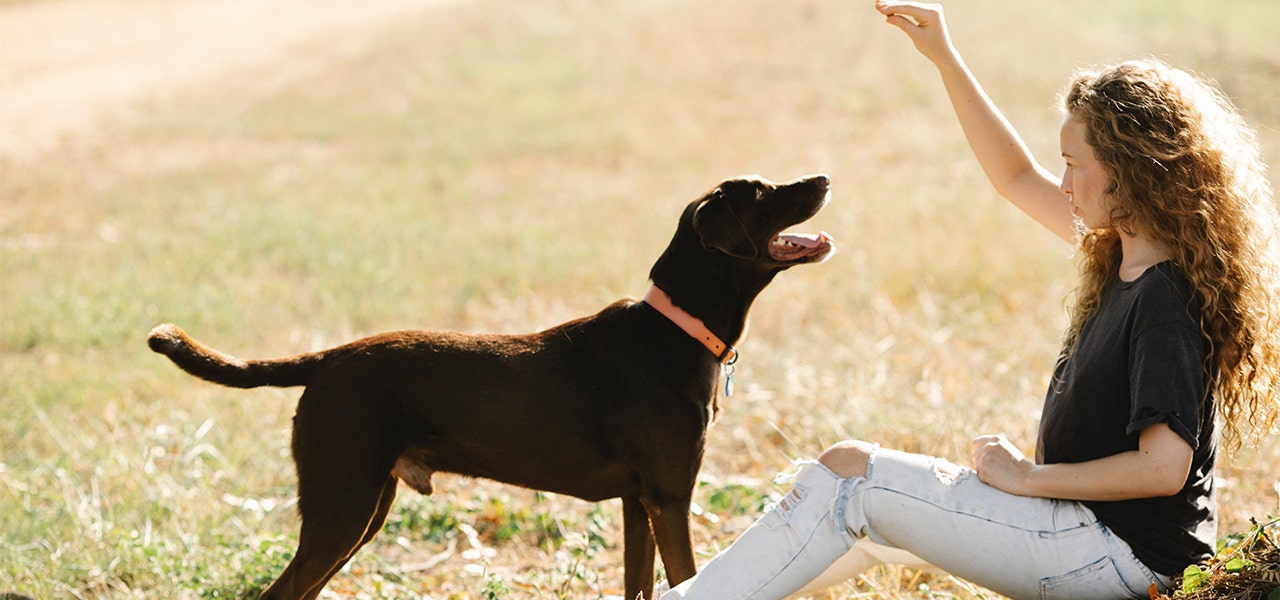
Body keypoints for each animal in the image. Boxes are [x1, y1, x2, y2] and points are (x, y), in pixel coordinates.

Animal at [149, 171, 834, 593]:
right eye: (764, 193)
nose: (825, 178)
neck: (675, 328)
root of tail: (328, 359)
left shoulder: (636, 503)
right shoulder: (669, 497)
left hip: (360, 508)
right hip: (341, 504)